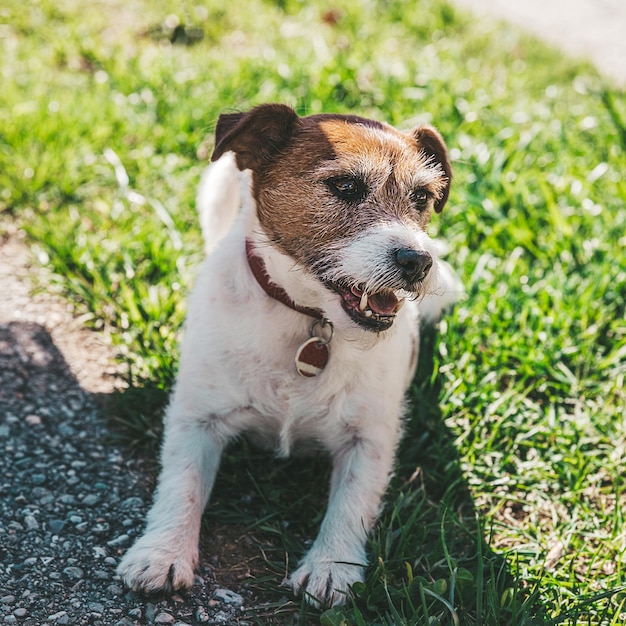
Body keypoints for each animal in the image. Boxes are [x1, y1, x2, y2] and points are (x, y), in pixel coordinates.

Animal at [117, 103, 458, 604]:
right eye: (345, 186)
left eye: (422, 197)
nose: (418, 261)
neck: (310, 319)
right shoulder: (196, 418)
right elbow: (182, 484)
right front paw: (163, 553)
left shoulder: (369, 440)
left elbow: (351, 503)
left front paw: (330, 568)